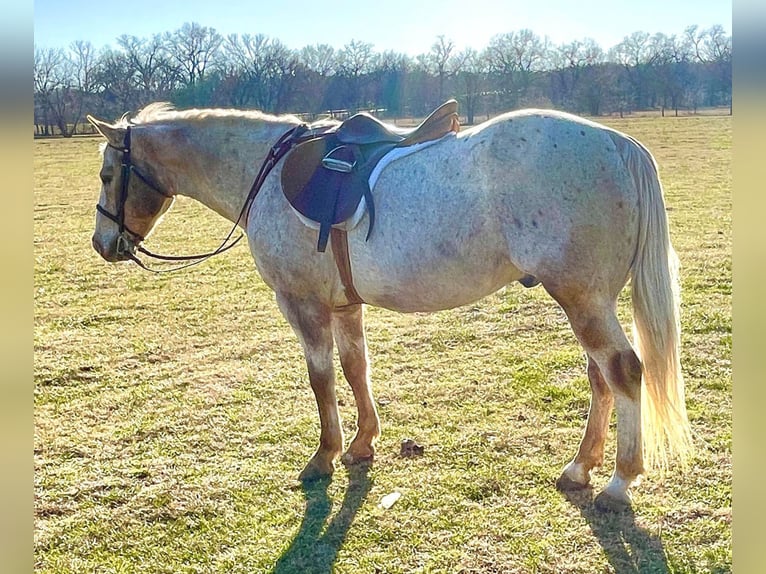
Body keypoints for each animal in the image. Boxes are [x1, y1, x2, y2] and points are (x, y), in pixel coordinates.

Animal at [87, 103, 692, 512]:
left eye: (106, 174)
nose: (103, 243)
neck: (265, 174)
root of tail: (617, 143)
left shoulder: (302, 304)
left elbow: (321, 378)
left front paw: (324, 456)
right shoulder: (344, 307)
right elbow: (357, 369)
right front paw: (362, 445)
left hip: (581, 299)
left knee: (623, 370)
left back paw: (618, 481)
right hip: (588, 299)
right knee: (600, 378)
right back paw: (579, 468)